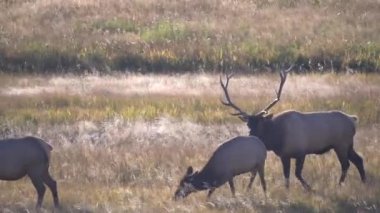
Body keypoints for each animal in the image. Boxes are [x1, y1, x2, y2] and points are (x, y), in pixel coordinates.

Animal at [220, 69, 366, 191]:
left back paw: (339, 185)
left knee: (346, 164)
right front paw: (288, 190)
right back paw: (364, 182)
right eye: (248, 124)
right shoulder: (284, 155)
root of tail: (353, 119)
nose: (251, 136)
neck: (277, 139)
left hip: (341, 144)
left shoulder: (301, 152)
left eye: (261, 123)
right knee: (358, 159)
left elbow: (297, 174)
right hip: (348, 144)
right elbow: (286, 175)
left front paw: (310, 189)